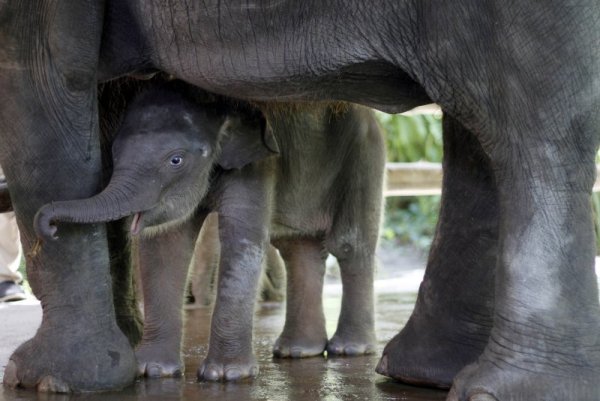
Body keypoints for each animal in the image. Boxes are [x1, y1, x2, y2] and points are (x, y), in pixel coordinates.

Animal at [35, 80, 384, 382]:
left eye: (176, 160)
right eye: (115, 153)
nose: (49, 227)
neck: (218, 105)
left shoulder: (258, 162)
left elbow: (241, 242)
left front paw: (226, 376)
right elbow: (166, 245)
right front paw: (151, 371)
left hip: (364, 155)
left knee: (349, 244)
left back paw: (348, 349)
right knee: (298, 247)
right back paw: (297, 351)